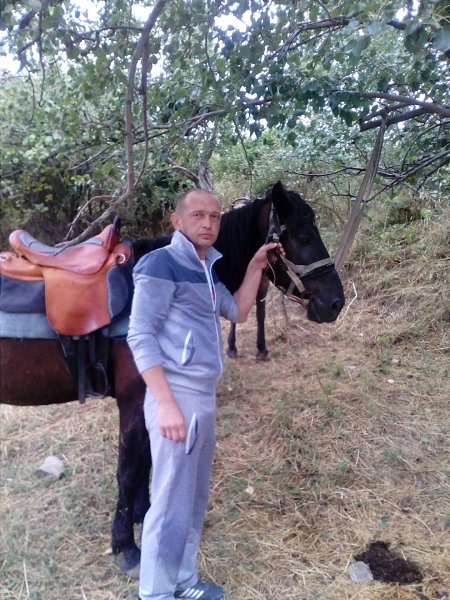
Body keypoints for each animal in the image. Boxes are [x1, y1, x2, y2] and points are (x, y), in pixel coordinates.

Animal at [0, 181, 345, 575]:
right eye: (302, 236)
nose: (335, 303)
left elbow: (146, 461)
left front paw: (145, 514)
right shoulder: (134, 400)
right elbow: (129, 470)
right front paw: (125, 545)